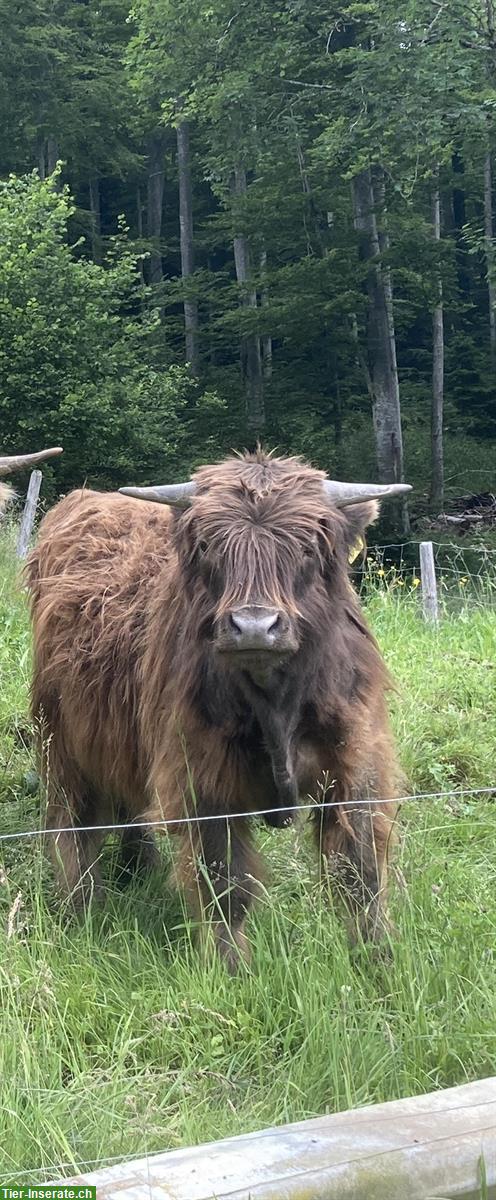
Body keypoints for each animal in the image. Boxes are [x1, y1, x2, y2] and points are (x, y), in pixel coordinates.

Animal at [25, 451, 408, 964]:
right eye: (209, 545)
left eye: (309, 545)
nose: (254, 626)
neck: (275, 701)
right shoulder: (202, 779)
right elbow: (224, 882)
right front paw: (230, 967)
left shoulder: (354, 766)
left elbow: (360, 873)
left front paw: (378, 959)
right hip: (62, 736)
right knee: (73, 821)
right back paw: (81, 907)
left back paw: (137, 868)